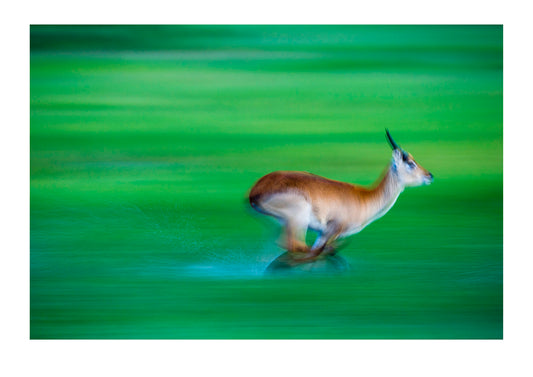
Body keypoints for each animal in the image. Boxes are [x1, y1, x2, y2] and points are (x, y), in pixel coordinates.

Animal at [249, 129, 432, 262]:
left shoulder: (323, 234)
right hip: (298, 218)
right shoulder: (332, 229)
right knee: (296, 245)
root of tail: (254, 191)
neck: (364, 198)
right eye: (410, 163)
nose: (430, 176)